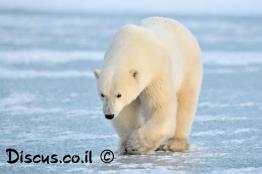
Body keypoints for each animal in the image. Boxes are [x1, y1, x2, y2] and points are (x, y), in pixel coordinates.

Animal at [94, 17, 203, 154]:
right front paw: (125, 145)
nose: (109, 115)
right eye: (102, 94)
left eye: (119, 95)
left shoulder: (156, 73)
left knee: (185, 103)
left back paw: (174, 143)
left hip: (188, 68)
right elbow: (126, 112)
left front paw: (136, 144)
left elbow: (160, 107)